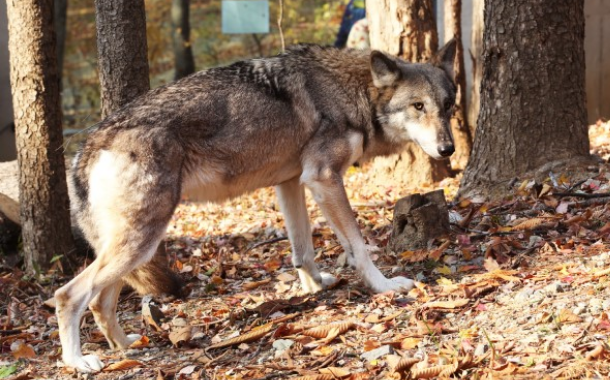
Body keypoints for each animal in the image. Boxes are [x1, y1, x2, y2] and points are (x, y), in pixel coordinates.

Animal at [55, 40, 456, 372]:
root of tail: (89, 143)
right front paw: (384, 286)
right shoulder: (324, 179)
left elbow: (302, 250)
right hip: (143, 241)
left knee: (99, 303)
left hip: (134, 249)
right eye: (418, 106)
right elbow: (358, 246)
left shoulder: (291, 183)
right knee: (68, 295)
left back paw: (127, 347)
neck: (354, 92)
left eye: (448, 107)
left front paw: (315, 286)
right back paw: (79, 362)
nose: (448, 149)